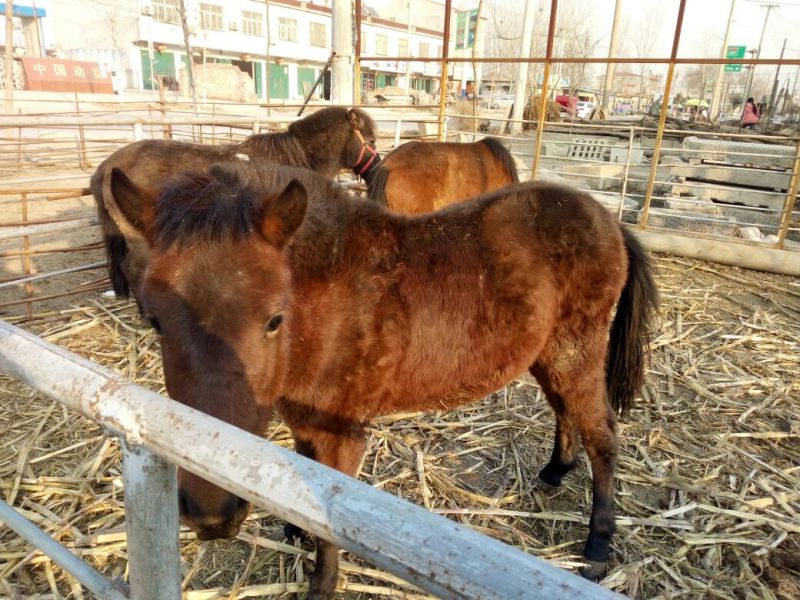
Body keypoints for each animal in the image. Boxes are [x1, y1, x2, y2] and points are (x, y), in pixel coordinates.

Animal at [107, 159, 658, 598]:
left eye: (273, 320)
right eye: (154, 320)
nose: (211, 513)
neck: (326, 306)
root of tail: (609, 220)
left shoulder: (342, 433)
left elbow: (327, 515)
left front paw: (322, 583)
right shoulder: (303, 421)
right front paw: (294, 530)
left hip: (576, 351)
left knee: (601, 433)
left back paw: (598, 546)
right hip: (548, 355)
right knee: (566, 410)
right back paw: (554, 471)